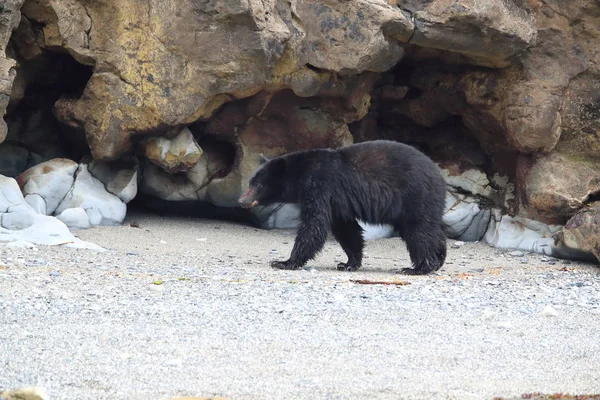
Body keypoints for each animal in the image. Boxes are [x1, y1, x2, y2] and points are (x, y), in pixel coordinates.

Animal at [237, 139, 448, 274]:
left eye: (257, 185)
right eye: (250, 182)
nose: (240, 201)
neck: (299, 174)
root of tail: (439, 177)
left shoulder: (320, 186)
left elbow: (315, 224)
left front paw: (284, 262)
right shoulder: (338, 202)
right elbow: (345, 228)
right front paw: (348, 263)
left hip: (414, 196)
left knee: (418, 232)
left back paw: (419, 268)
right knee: (430, 229)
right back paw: (439, 258)